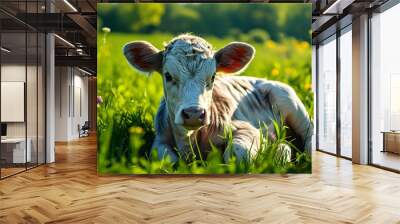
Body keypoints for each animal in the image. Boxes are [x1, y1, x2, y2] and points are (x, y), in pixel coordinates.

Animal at [123, 33, 310, 163]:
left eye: (212, 77)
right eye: (168, 76)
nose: (194, 113)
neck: (190, 140)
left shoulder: (247, 129)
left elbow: (237, 153)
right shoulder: (160, 139)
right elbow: (166, 159)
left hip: (291, 104)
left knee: (309, 135)